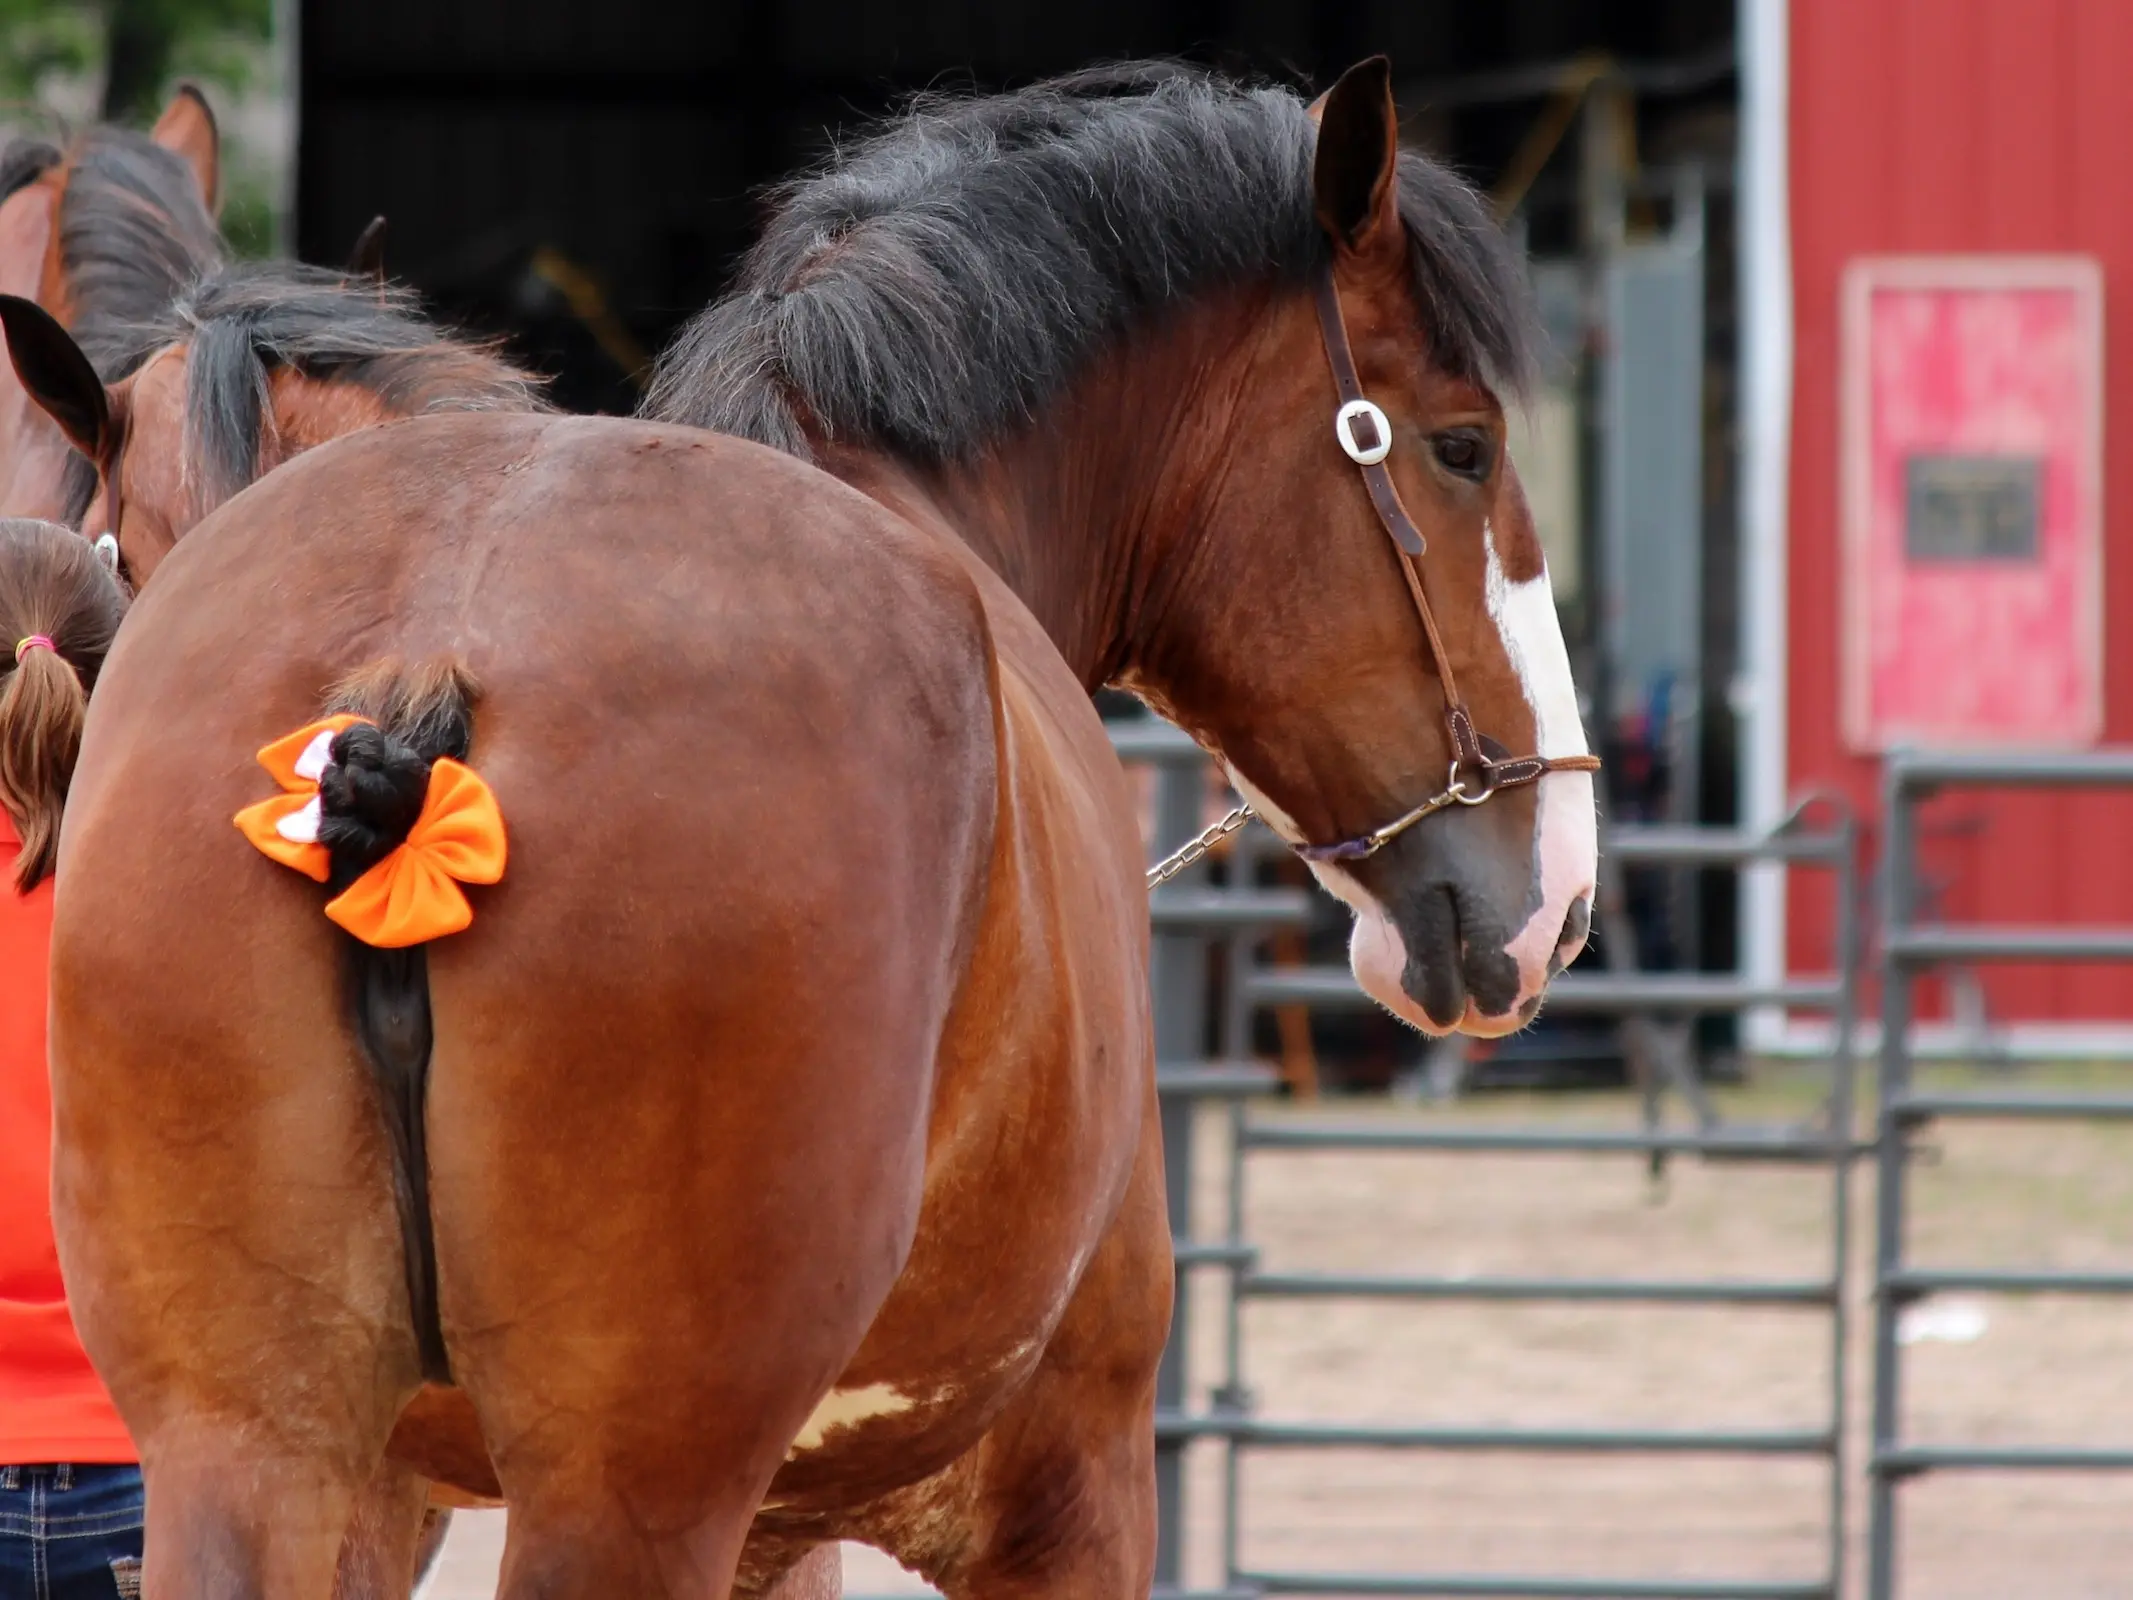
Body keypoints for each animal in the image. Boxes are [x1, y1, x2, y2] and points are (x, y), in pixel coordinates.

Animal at [33, 59, 1595, 1600]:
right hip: (623, 1501)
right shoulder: (1072, 1490)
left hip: (256, 1458)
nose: (1557, 894)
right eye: (1462, 447)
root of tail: (425, 675)